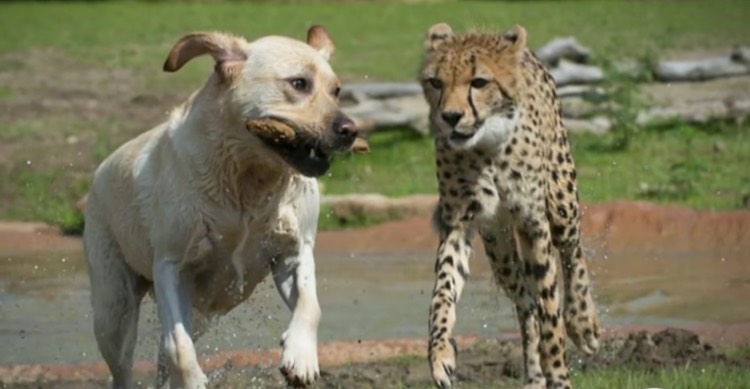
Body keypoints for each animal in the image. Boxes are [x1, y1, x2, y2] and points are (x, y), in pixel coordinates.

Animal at [83, 25, 356, 386]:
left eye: (336, 90)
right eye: (299, 83)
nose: (351, 130)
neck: (247, 181)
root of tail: (99, 171)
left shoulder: (294, 251)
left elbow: (311, 307)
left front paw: (300, 356)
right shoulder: (170, 266)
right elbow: (178, 346)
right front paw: (193, 381)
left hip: (201, 311)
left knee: (163, 355)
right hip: (114, 305)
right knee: (126, 364)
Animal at [420, 22, 604, 386]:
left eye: (479, 82)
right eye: (436, 82)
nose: (450, 117)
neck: (487, 145)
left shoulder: (534, 223)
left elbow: (551, 309)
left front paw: (560, 374)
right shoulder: (460, 221)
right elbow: (443, 290)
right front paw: (441, 354)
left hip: (561, 202)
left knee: (572, 254)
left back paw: (582, 323)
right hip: (500, 249)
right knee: (525, 302)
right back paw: (534, 376)